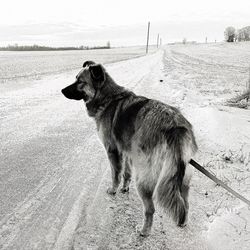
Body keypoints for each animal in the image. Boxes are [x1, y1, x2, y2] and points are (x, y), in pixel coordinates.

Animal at [61, 61, 197, 236]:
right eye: (75, 78)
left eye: (80, 82)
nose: (61, 90)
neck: (108, 98)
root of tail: (175, 127)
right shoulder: (127, 152)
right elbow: (126, 173)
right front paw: (124, 188)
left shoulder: (112, 150)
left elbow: (115, 174)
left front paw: (113, 189)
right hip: (183, 181)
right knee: (185, 203)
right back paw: (183, 221)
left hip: (144, 179)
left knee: (150, 209)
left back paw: (144, 231)